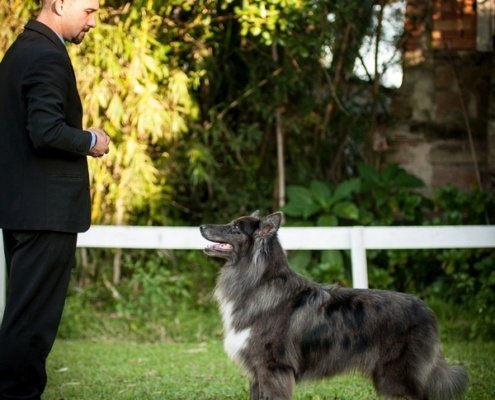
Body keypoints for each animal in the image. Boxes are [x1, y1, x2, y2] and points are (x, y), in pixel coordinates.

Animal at [201, 211, 468, 398]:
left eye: (235, 228)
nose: (201, 226)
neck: (257, 281)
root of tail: (427, 311)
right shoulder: (258, 373)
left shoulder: (273, 369)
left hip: (396, 378)